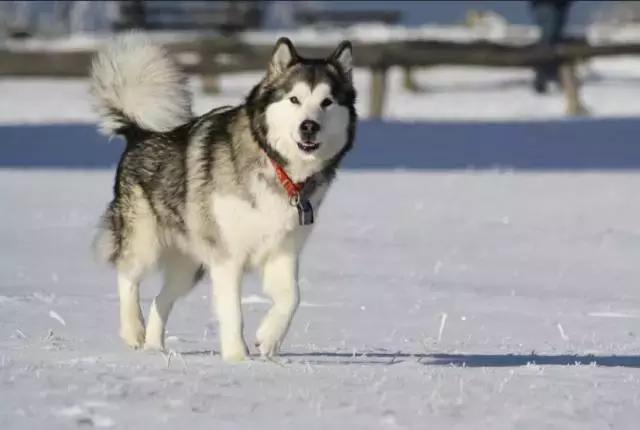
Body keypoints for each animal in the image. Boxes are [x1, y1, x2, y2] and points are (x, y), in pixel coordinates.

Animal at [91, 35, 356, 362]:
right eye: (294, 99)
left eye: (327, 102)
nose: (309, 126)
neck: (277, 167)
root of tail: (139, 133)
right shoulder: (227, 257)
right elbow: (232, 312)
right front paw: (237, 359)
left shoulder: (282, 251)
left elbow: (292, 298)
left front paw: (268, 339)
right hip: (145, 240)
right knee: (127, 275)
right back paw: (133, 330)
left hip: (189, 266)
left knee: (160, 299)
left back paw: (154, 347)